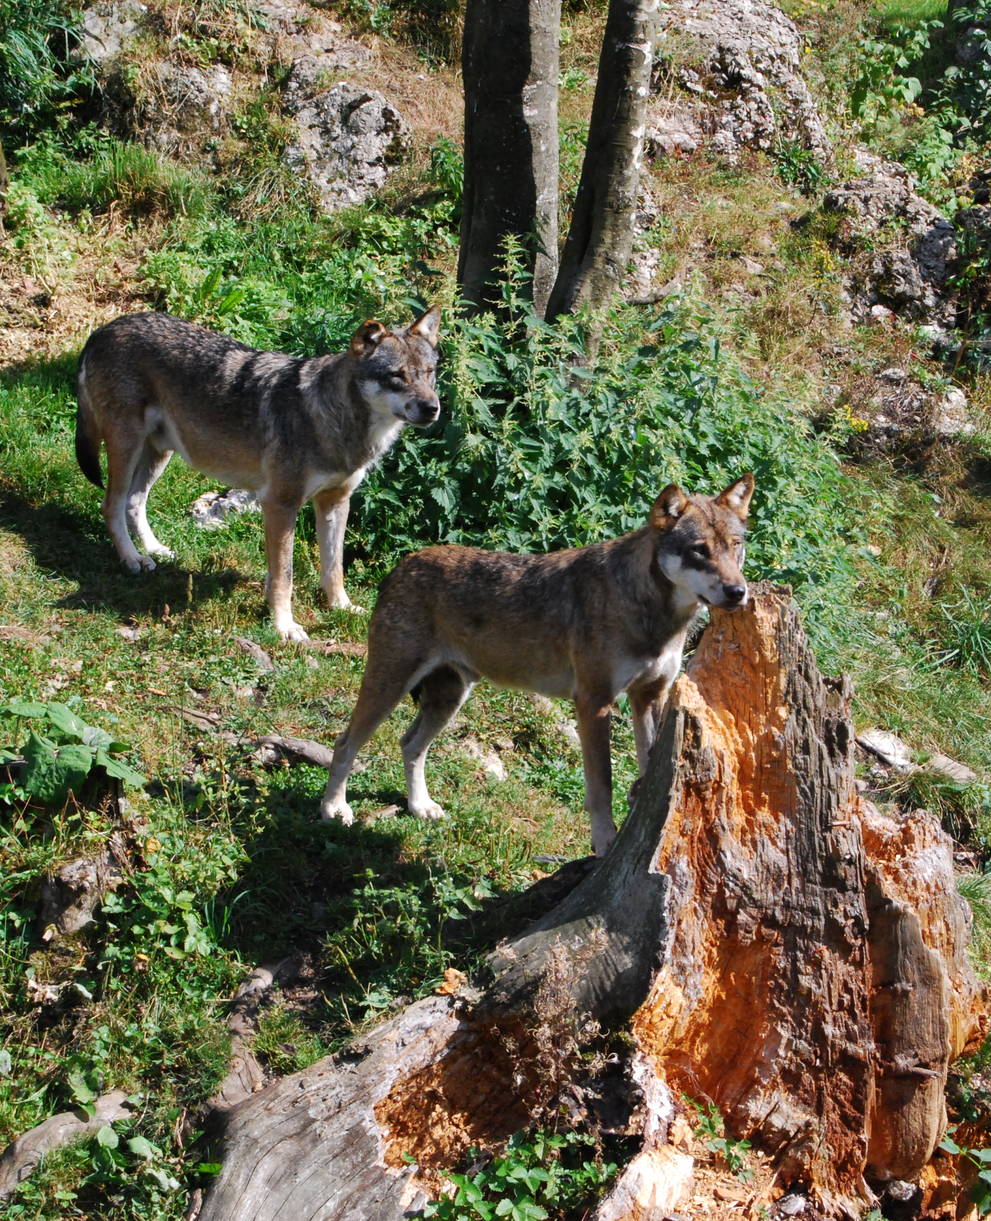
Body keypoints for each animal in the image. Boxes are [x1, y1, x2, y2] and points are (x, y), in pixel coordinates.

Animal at [73, 307, 436, 639]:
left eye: (430, 372)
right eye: (397, 376)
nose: (433, 408)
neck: (331, 419)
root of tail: (104, 328)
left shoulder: (336, 501)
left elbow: (334, 567)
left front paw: (341, 607)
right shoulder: (280, 505)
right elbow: (284, 576)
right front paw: (285, 627)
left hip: (160, 453)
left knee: (135, 501)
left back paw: (152, 550)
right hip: (127, 447)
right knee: (112, 505)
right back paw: (131, 558)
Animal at [322, 471, 756, 854]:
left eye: (735, 545)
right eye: (699, 550)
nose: (738, 592)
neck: (653, 614)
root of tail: (402, 564)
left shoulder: (650, 696)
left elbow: (648, 765)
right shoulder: (593, 704)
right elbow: (601, 787)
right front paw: (605, 842)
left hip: (449, 698)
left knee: (409, 744)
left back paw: (419, 807)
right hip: (390, 687)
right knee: (345, 744)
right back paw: (334, 810)